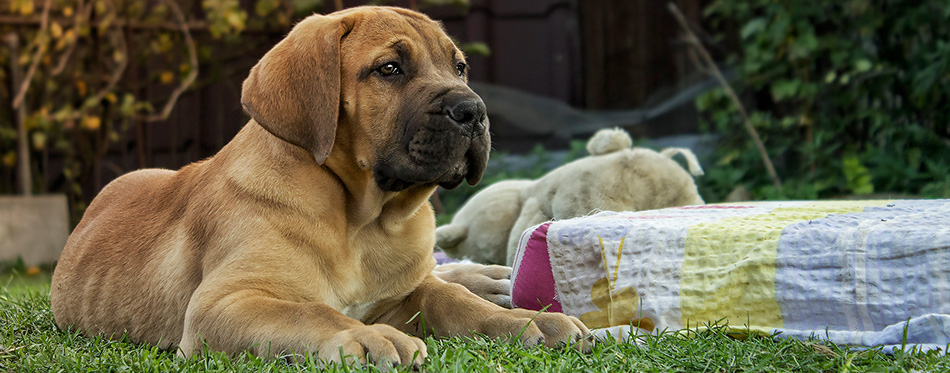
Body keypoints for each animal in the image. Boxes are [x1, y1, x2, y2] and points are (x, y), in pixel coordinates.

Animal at [48, 6, 592, 370]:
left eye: (459, 67)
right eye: (389, 68)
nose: (474, 111)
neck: (363, 220)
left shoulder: (406, 291)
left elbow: (452, 300)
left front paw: (531, 323)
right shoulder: (221, 304)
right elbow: (309, 311)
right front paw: (370, 338)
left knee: (448, 274)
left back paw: (493, 280)